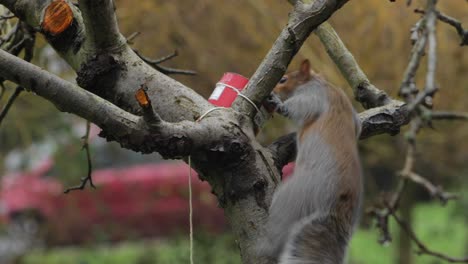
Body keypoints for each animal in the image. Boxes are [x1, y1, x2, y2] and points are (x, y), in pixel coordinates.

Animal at [258, 59, 364, 264]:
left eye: (283, 79)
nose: (271, 90)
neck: (322, 83)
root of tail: (339, 206)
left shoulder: (312, 97)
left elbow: (293, 108)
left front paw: (275, 101)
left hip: (293, 196)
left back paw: (264, 245)